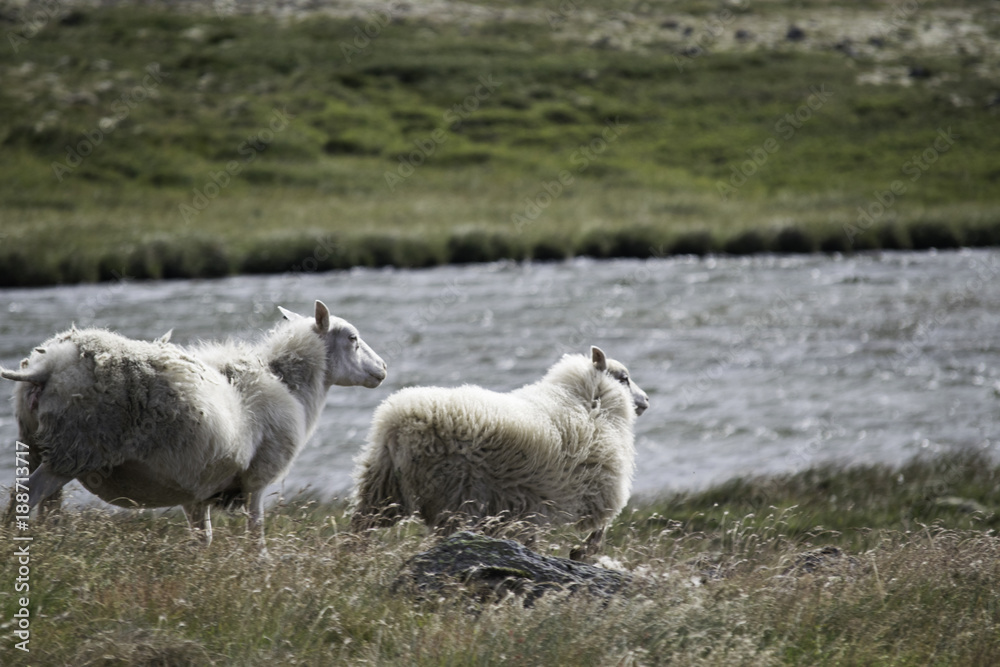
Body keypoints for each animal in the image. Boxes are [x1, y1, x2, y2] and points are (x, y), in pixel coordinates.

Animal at [3, 300, 387, 547]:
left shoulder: (196, 486)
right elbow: (256, 537)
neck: (287, 382)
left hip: (37, 445)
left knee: (38, 507)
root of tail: (45, 367)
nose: (382, 369)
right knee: (25, 496)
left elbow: (203, 539)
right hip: (75, 447)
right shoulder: (257, 479)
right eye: (353, 338)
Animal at [350, 346, 648, 559]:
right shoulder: (597, 487)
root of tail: (395, 425)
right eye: (624, 378)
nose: (646, 400)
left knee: (362, 525)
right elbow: (601, 527)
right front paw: (581, 551)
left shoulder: (529, 502)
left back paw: (354, 560)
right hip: (453, 495)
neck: (588, 401)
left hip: (384, 486)